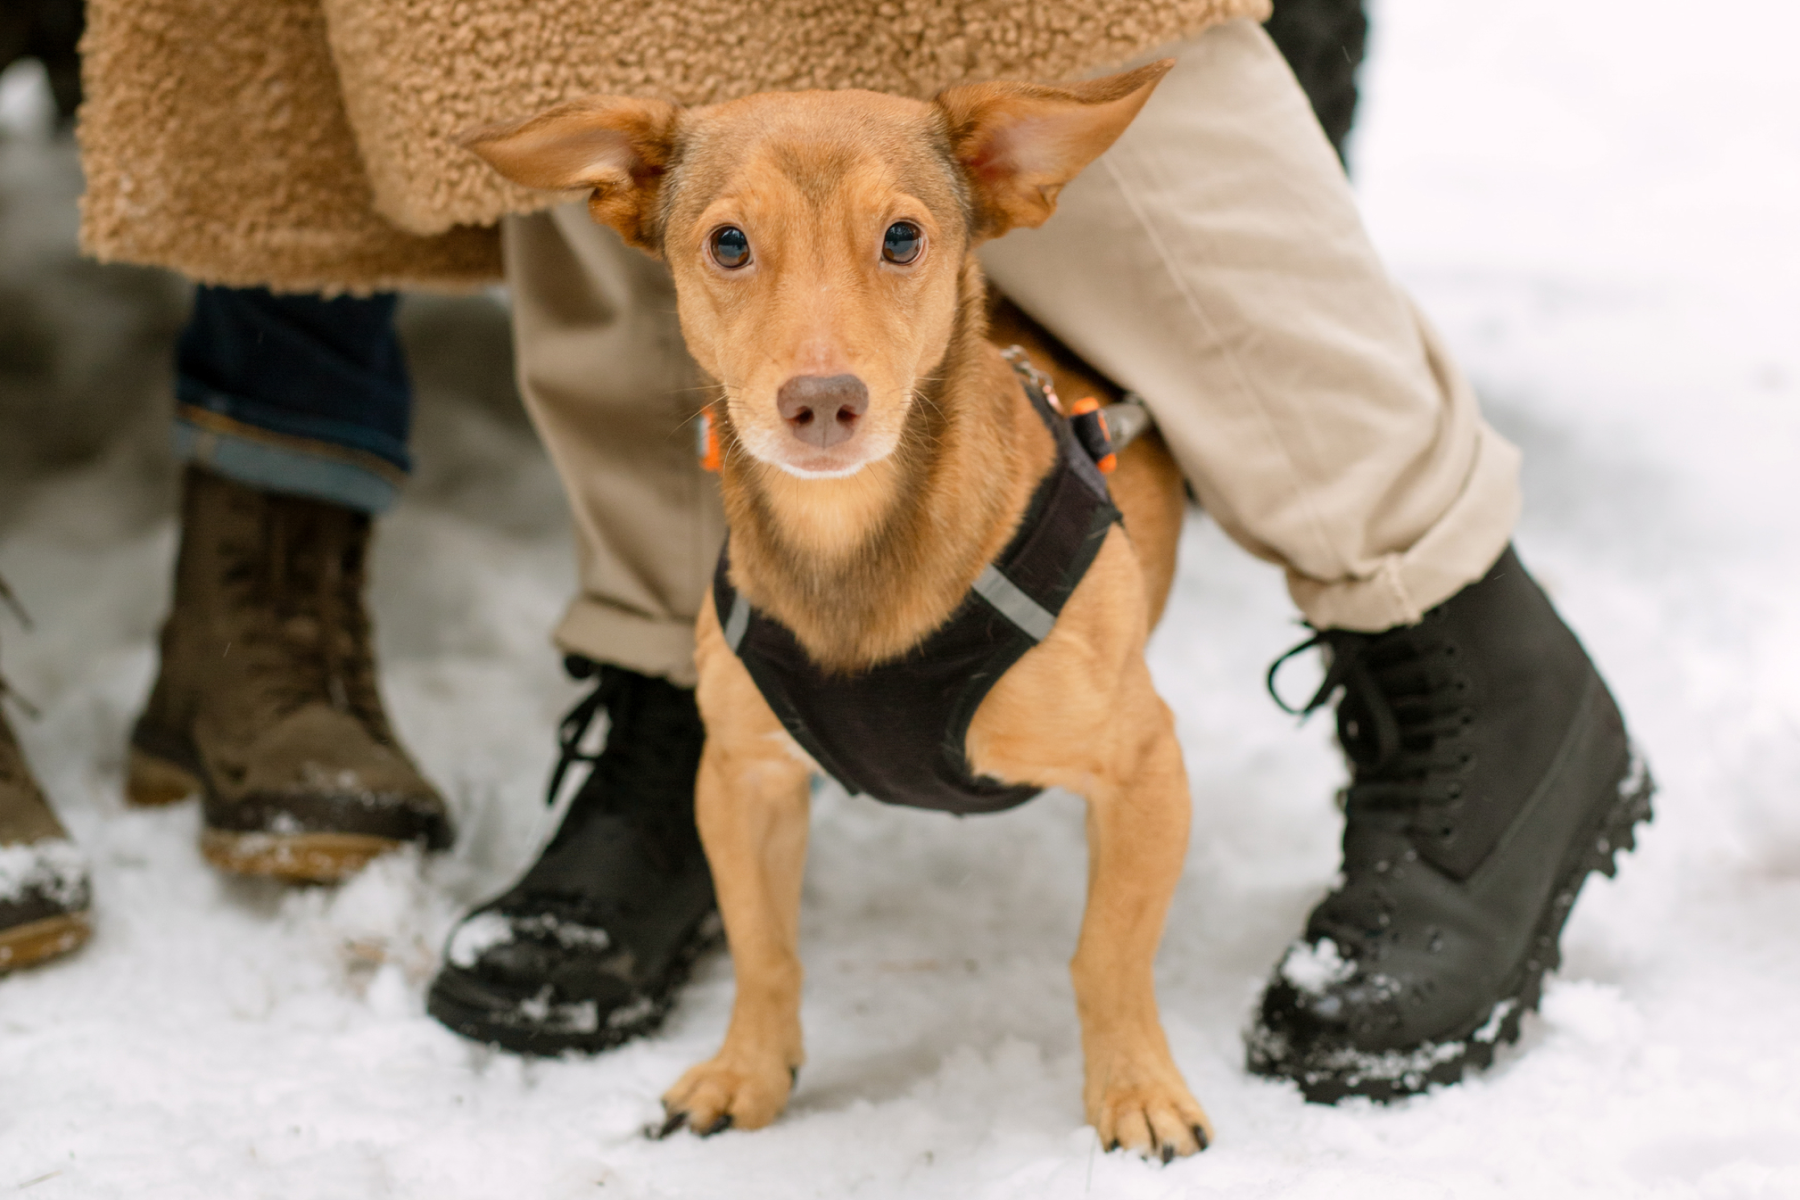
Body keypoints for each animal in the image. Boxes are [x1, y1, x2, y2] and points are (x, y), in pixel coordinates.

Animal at [471, 65, 1216, 1165]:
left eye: (903, 237)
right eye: (728, 243)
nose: (823, 401)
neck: (850, 546)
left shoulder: (1144, 767)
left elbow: (1108, 954)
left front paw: (1136, 1089)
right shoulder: (741, 779)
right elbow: (763, 949)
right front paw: (745, 1073)